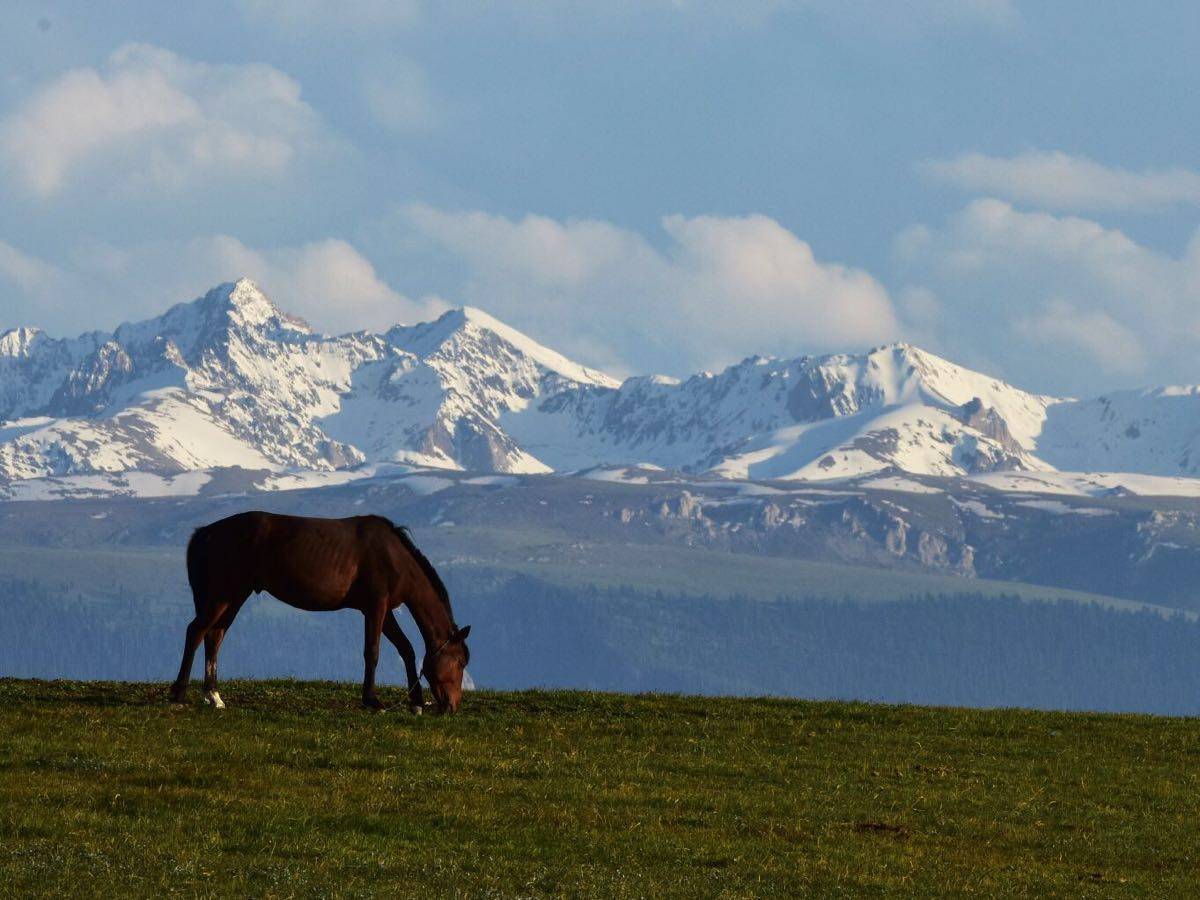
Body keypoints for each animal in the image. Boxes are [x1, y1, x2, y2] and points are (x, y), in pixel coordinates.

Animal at [169, 513, 468, 710]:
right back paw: (179, 694)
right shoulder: (375, 607)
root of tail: (208, 532)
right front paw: (372, 700)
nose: (452, 706)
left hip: (234, 596)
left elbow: (406, 649)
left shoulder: (384, 611)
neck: (394, 556)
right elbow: (372, 653)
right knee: (196, 631)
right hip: (223, 594)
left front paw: (415, 703)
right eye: (460, 662)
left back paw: (213, 695)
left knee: (214, 636)